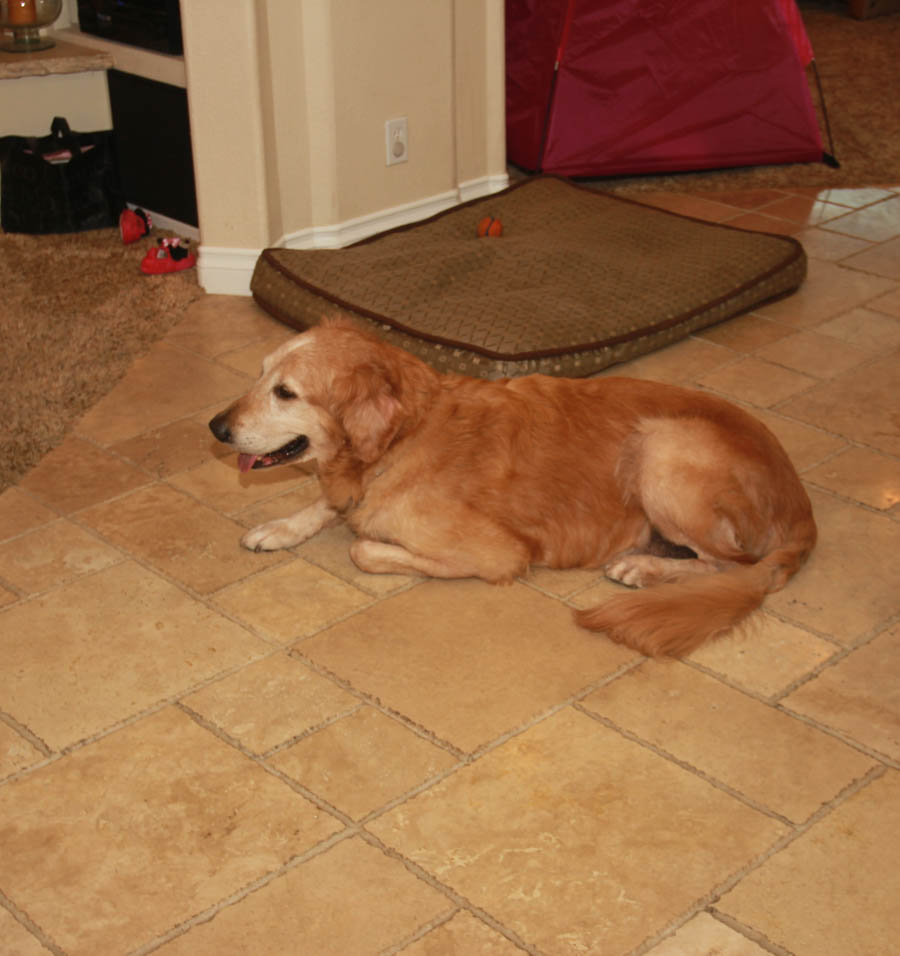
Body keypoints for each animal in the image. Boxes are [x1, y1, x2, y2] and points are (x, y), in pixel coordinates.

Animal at [209, 322, 816, 656]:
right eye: (260, 374)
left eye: (286, 393)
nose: (216, 427)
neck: (404, 438)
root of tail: (800, 501)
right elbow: (327, 505)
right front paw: (281, 528)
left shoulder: (499, 553)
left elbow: (363, 546)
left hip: (661, 448)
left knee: (731, 566)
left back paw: (643, 567)